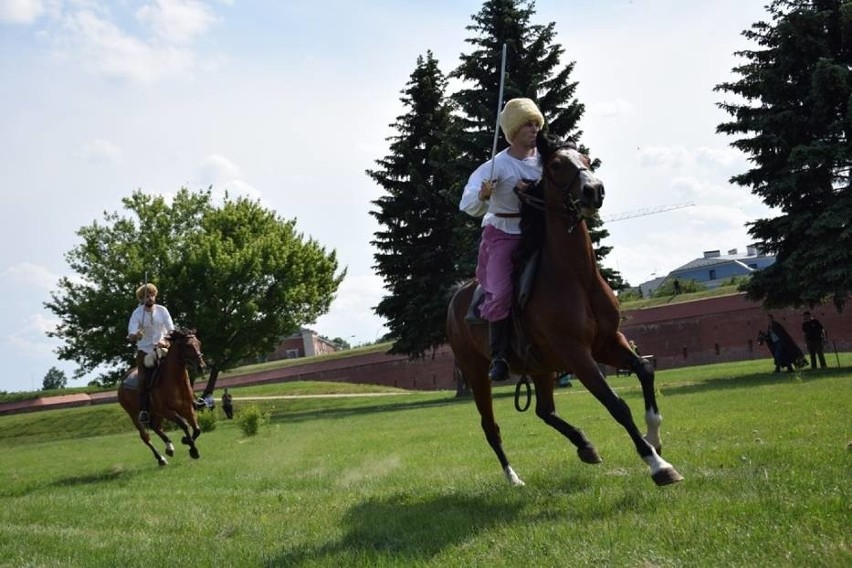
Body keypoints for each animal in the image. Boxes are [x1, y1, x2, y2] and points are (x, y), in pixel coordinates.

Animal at [117, 328, 207, 466]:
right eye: (187, 345)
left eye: (199, 343)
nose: (201, 367)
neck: (175, 381)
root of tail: (122, 382)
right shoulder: (167, 411)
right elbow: (184, 425)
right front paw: (193, 450)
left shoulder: (188, 409)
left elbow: (197, 430)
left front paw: (186, 441)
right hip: (135, 415)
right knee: (146, 437)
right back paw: (161, 458)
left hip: (156, 413)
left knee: (156, 427)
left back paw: (169, 448)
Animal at [446, 134, 684, 488]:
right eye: (557, 165)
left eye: (585, 159)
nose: (594, 190)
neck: (576, 277)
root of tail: (455, 297)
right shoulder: (576, 353)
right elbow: (616, 404)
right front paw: (657, 464)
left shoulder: (608, 342)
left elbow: (644, 369)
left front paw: (653, 437)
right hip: (476, 372)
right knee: (491, 427)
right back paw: (513, 477)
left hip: (540, 367)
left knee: (544, 411)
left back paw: (585, 446)